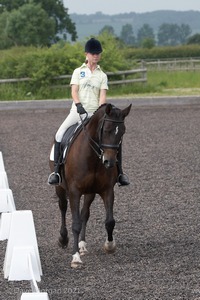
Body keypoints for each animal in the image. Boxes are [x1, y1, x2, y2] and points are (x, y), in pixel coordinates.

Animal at [49, 102, 132, 268]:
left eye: (122, 132)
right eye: (106, 130)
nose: (109, 162)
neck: (93, 157)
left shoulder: (107, 190)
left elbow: (110, 221)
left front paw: (109, 246)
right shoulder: (74, 192)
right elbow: (75, 223)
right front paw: (75, 258)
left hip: (90, 192)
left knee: (84, 214)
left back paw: (82, 245)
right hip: (60, 187)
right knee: (63, 207)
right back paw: (63, 239)